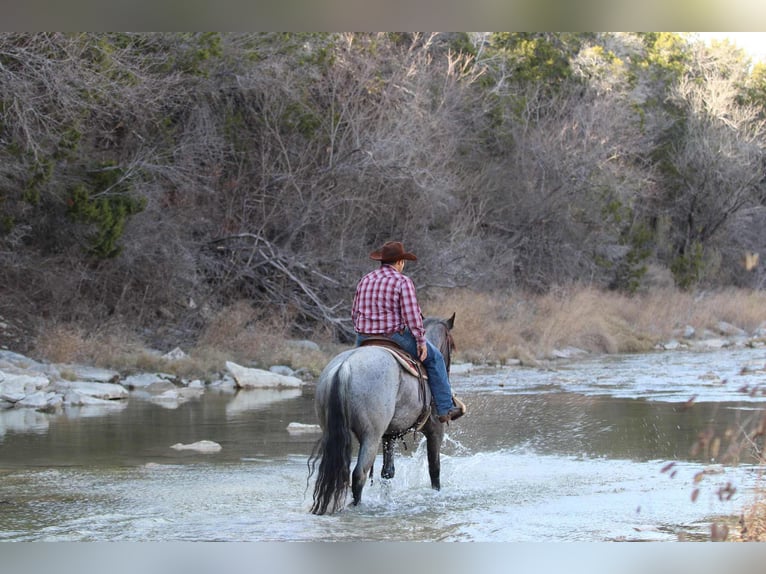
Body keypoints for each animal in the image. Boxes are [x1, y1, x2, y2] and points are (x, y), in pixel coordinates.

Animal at [308, 313, 457, 515]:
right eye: (452, 345)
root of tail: (344, 368)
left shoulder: (389, 434)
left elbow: (387, 472)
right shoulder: (435, 430)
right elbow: (434, 469)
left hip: (332, 432)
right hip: (371, 436)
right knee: (359, 474)